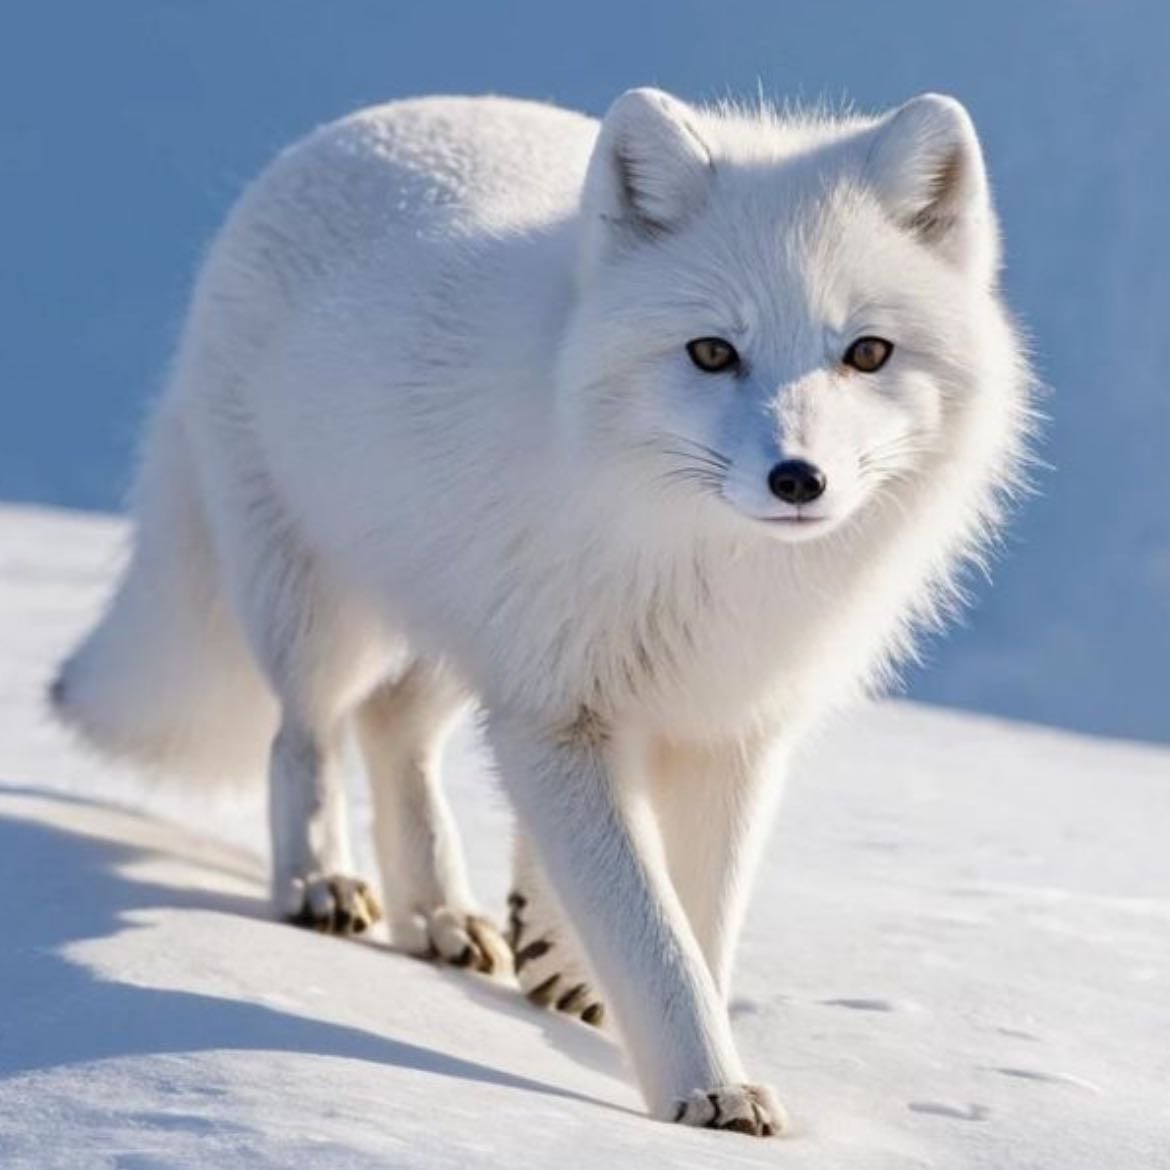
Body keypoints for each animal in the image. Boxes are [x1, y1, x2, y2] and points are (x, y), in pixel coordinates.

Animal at [52, 87, 1031, 1135]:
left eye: (867, 353)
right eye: (713, 352)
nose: (797, 479)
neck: (707, 564)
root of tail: (348, 129)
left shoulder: (727, 724)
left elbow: (702, 921)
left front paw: (650, 1033)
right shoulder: (558, 715)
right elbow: (652, 933)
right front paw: (708, 1091)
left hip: (468, 638)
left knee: (393, 729)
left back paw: (450, 917)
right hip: (324, 611)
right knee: (308, 736)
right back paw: (323, 884)